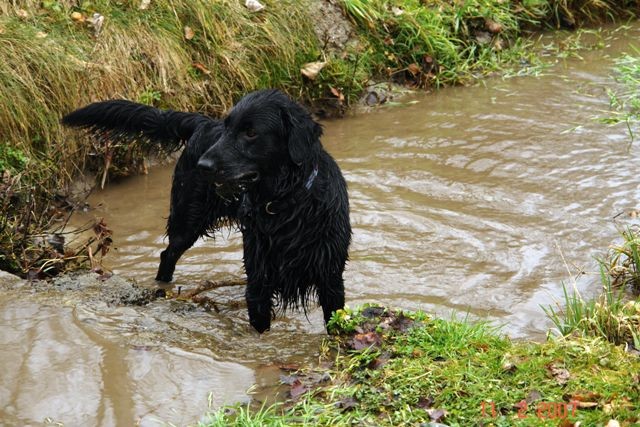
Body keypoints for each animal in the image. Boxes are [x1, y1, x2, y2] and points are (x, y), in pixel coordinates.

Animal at [62, 88, 352, 332]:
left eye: (251, 132)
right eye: (227, 128)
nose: (204, 165)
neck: (283, 204)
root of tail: (203, 123)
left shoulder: (331, 278)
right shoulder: (258, 279)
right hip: (187, 219)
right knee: (167, 254)